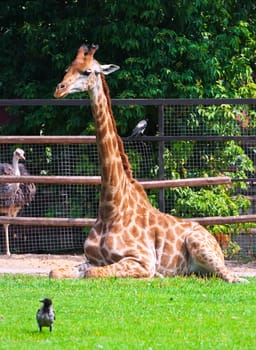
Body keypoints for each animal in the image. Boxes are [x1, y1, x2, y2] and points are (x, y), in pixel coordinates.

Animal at [49, 45, 247, 284]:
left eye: (87, 72)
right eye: (67, 69)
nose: (59, 89)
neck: (110, 207)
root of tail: (211, 236)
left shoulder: (143, 261)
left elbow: (92, 274)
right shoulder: (92, 259)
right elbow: (55, 272)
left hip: (200, 245)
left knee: (232, 277)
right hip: (195, 270)